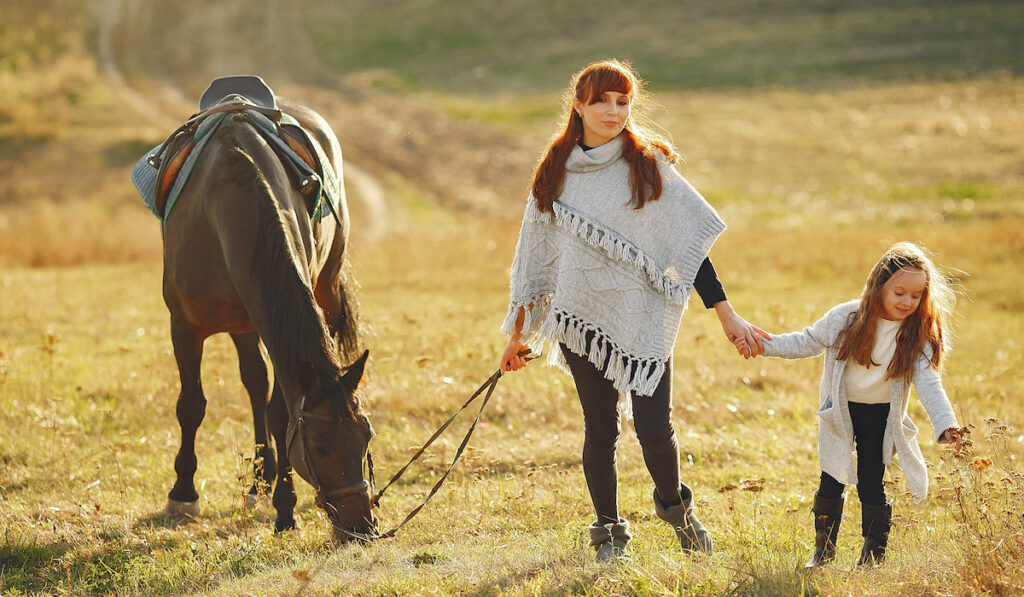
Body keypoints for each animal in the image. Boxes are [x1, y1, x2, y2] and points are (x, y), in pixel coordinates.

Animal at [161, 90, 378, 540]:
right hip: (244, 322)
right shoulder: (184, 325)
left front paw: (285, 509)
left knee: (259, 386)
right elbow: (191, 405)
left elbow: (280, 413)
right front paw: (183, 493)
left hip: (314, 293)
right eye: (320, 446)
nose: (361, 526)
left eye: (366, 435)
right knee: (253, 382)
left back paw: (264, 475)